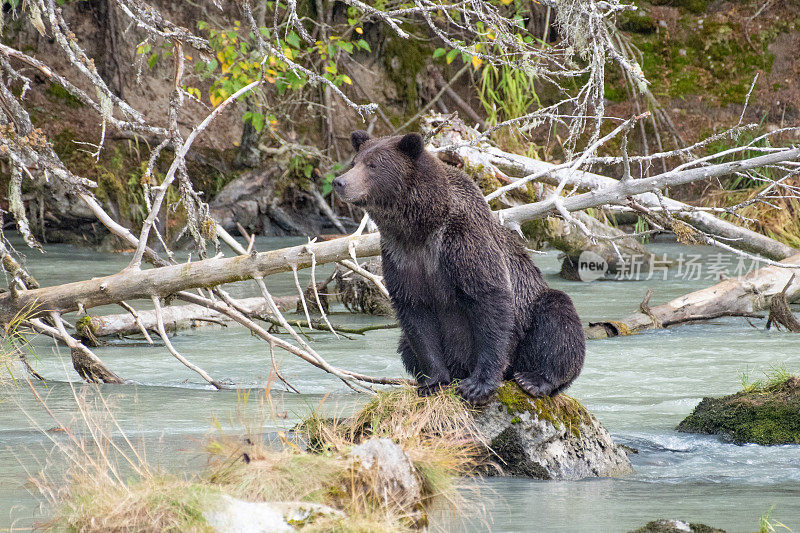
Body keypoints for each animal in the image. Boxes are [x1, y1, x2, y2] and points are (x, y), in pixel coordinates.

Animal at [334, 131, 584, 402]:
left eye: (373, 165)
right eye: (355, 162)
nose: (339, 182)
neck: (421, 225)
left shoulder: (462, 241)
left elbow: (489, 299)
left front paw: (479, 384)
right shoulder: (400, 254)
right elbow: (416, 316)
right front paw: (433, 382)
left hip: (529, 323)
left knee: (557, 318)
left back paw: (535, 379)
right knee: (405, 345)